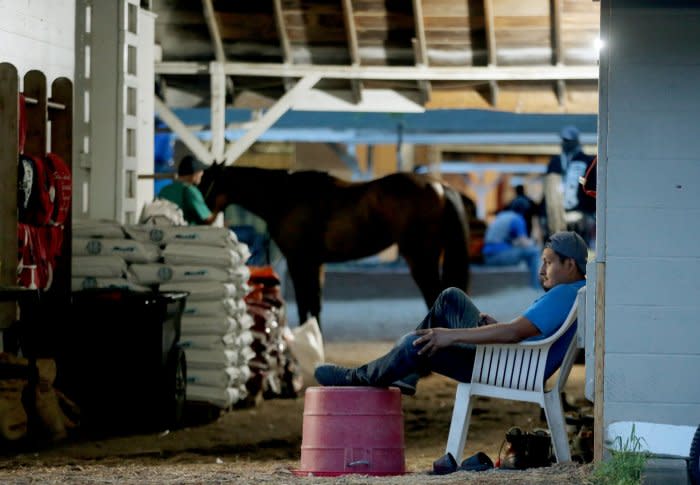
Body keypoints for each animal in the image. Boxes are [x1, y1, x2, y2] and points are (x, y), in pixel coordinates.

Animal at [202, 164, 476, 328]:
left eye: (207, 183)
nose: (201, 217)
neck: (286, 197)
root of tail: (441, 187)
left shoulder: (299, 261)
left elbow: (305, 303)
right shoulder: (315, 263)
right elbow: (315, 304)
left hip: (420, 258)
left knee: (435, 296)